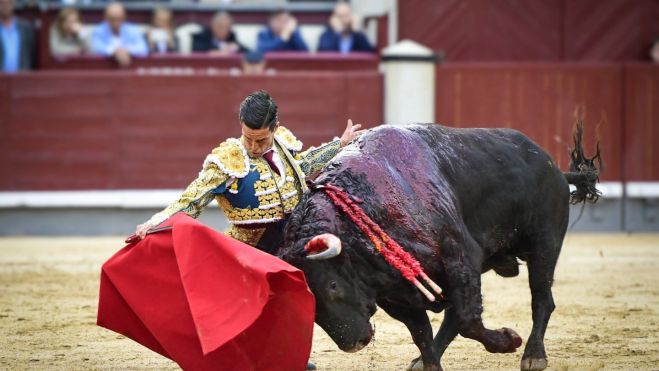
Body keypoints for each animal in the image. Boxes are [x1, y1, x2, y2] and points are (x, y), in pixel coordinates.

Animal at [276, 123, 600, 371]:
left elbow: (468, 321)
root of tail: (554, 168)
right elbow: (423, 332)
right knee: (453, 318)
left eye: (332, 285)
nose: (353, 343)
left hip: (544, 244)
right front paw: (428, 362)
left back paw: (534, 355)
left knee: (541, 299)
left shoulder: (461, 258)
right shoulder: (395, 293)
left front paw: (509, 340)